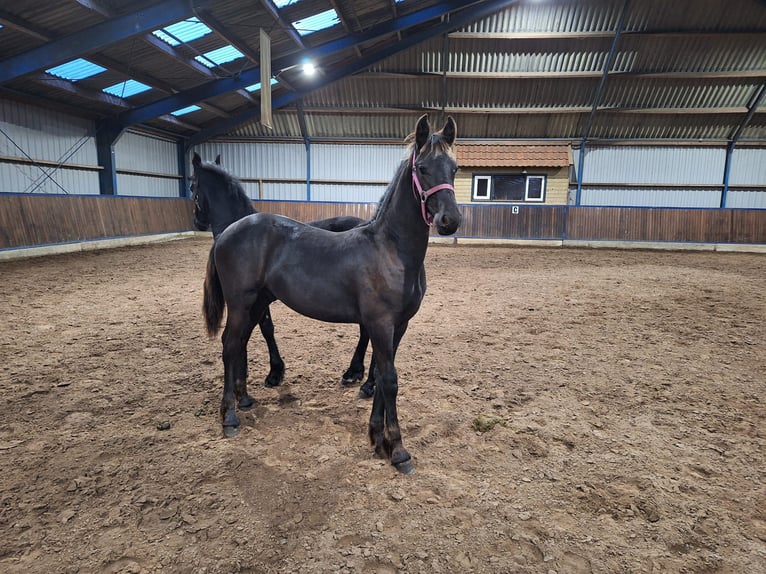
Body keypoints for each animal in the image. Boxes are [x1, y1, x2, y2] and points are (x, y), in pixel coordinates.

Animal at [189, 153, 376, 396]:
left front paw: (273, 372)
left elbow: (265, 328)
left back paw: (357, 374)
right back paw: (356, 372)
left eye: (192, 185)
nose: (197, 222)